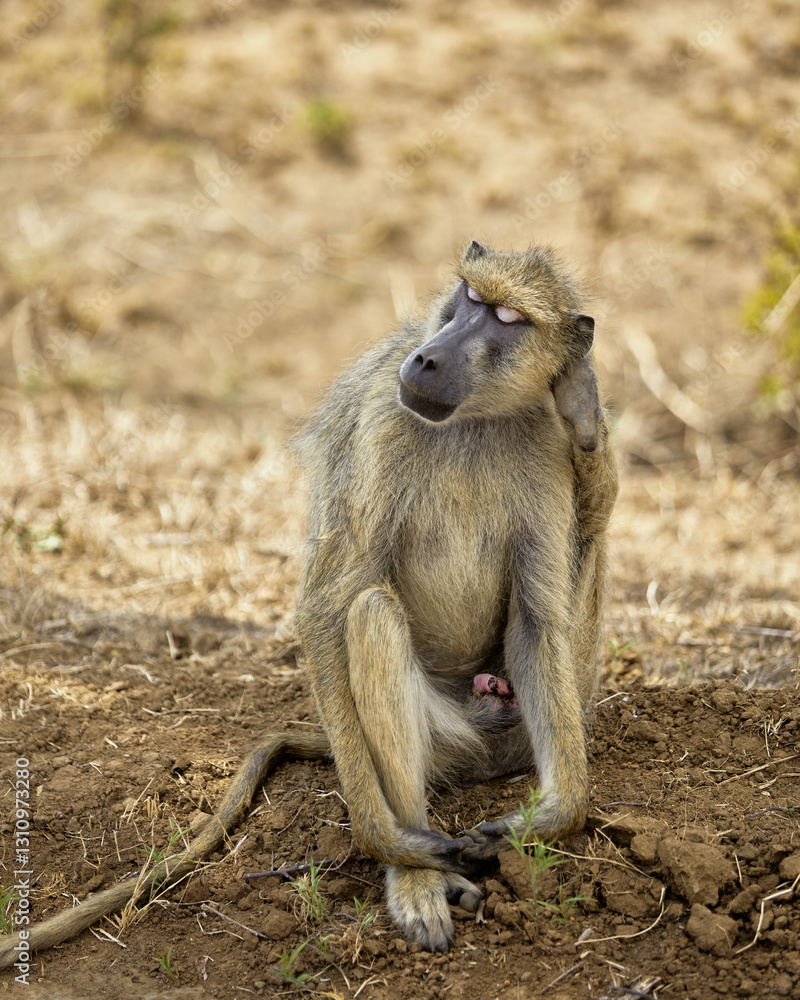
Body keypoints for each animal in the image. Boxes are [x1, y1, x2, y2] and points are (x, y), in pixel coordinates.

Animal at [0, 241, 616, 969]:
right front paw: (389, 842)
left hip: (539, 713)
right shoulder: (383, 420)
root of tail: (479, 755)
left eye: (506, 318)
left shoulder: (545, 443)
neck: (475, 421)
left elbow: (538, 623)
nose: (429, 358)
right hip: (446, 735)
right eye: (468, 298)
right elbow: (327, 608)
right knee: (371, 614)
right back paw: (417, 875)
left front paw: (550, 819)